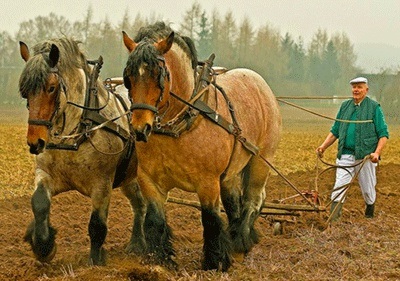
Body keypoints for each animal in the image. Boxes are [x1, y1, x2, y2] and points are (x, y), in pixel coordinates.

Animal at [18, 37, 146, 264]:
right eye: (24, 91)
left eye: (51, 88)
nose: (35, 142)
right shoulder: (46, 173)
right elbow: (39, 202)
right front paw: (43, 245)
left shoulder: (102, 183)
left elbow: (97, 225)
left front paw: (94, 262)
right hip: (129, 178)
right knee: (138, 204)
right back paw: (136, 244)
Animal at [122, 21, 282, 270]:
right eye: (128, 77)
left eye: (158, 75)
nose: (140, 128)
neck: (180, 125)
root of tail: (260, 82)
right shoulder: (149, 180)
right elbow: (155, 220)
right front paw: (159, 260)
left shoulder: (207, 182)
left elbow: (210, 219)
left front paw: (214, 262)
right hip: (230, 172)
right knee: (233, 202)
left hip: (261, 161)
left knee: (253, 200)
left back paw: (239, 245)